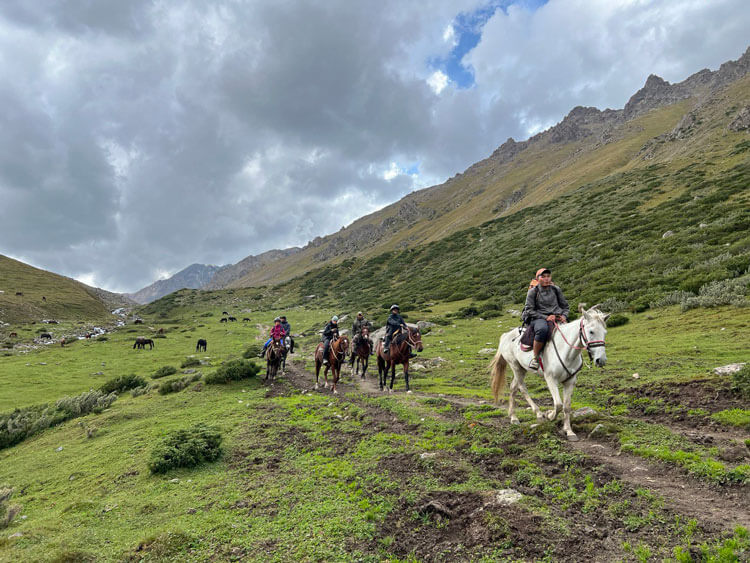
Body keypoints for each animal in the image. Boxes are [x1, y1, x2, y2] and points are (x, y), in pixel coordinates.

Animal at [488, 306, 612, 442]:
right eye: (591, 332)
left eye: (605, 333)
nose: (601, 360)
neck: (567, 352)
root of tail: (506, 335)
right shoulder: (550, 379)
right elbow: (558, 404)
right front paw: (549, 415)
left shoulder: (570, 381)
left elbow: (566, 406)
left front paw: (569, 431)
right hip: (516, 367)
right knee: (522, 388)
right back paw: (537, 413)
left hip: (522, 369)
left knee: (513, 388)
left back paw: (513, 417)